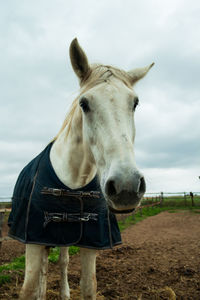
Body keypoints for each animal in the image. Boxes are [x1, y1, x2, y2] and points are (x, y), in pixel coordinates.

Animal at [7, 38, 154, 298]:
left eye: (135, 103)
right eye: (84, 103)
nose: (126, 186)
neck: (73, 178)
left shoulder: (90, 244)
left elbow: (87, 286)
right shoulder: (32, 240)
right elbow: (29, 287)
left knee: (61, 262)